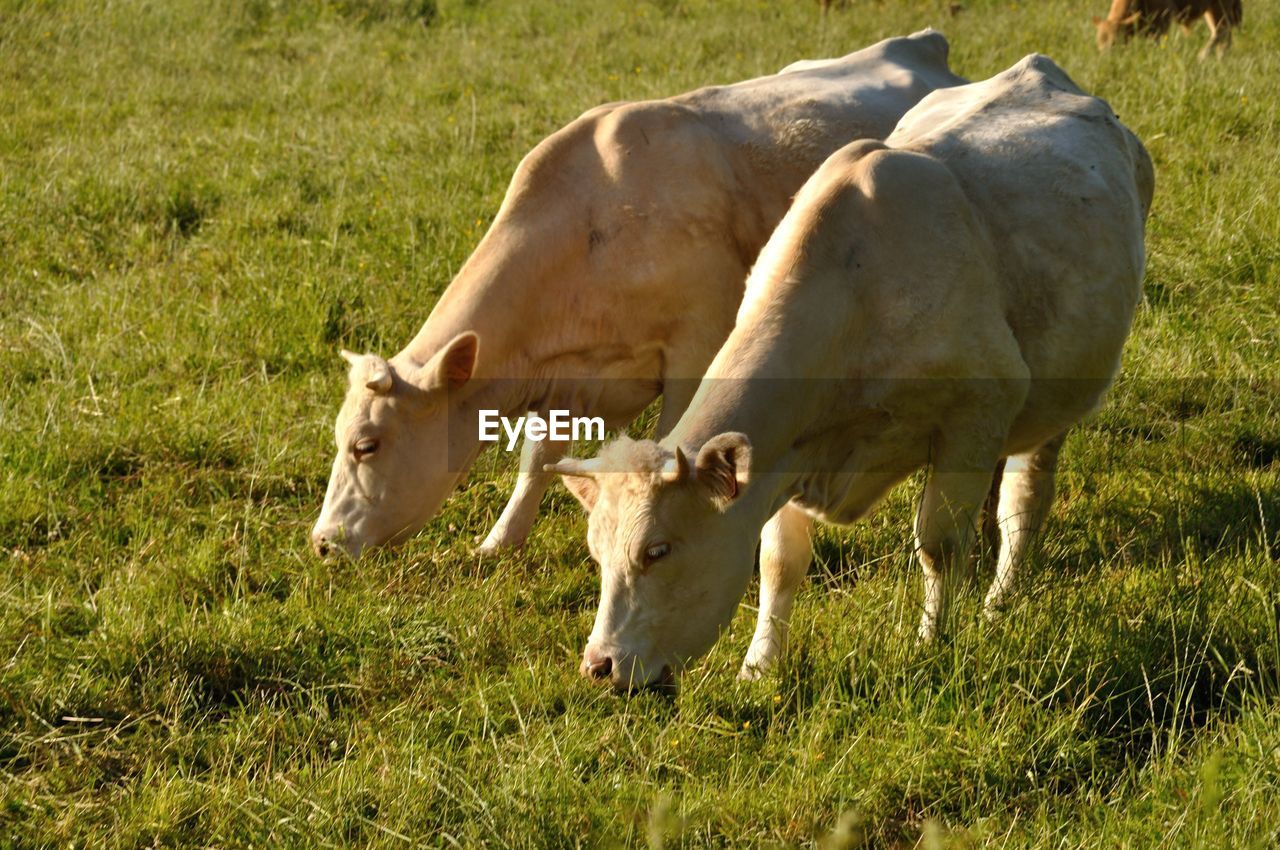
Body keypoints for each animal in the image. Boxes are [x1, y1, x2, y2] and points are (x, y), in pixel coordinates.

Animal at [314, 33, 962, 560]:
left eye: (366, 445)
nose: (322, 543)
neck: (596, 223)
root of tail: (921, 43)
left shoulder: (695, 350)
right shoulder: (567, 384)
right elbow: (537, 461)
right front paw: (499, 542)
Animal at [550, 51, 1162, 691]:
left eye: (658, 550)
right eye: (596, 553)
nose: (599, 664)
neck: (857, 289)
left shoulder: (977, 412)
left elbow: (939, 544)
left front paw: (931, 643)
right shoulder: (789, 449)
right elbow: (778, 560)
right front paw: (759, 664)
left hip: (1058, 396)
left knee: (1024, 495)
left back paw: (1000, 598)